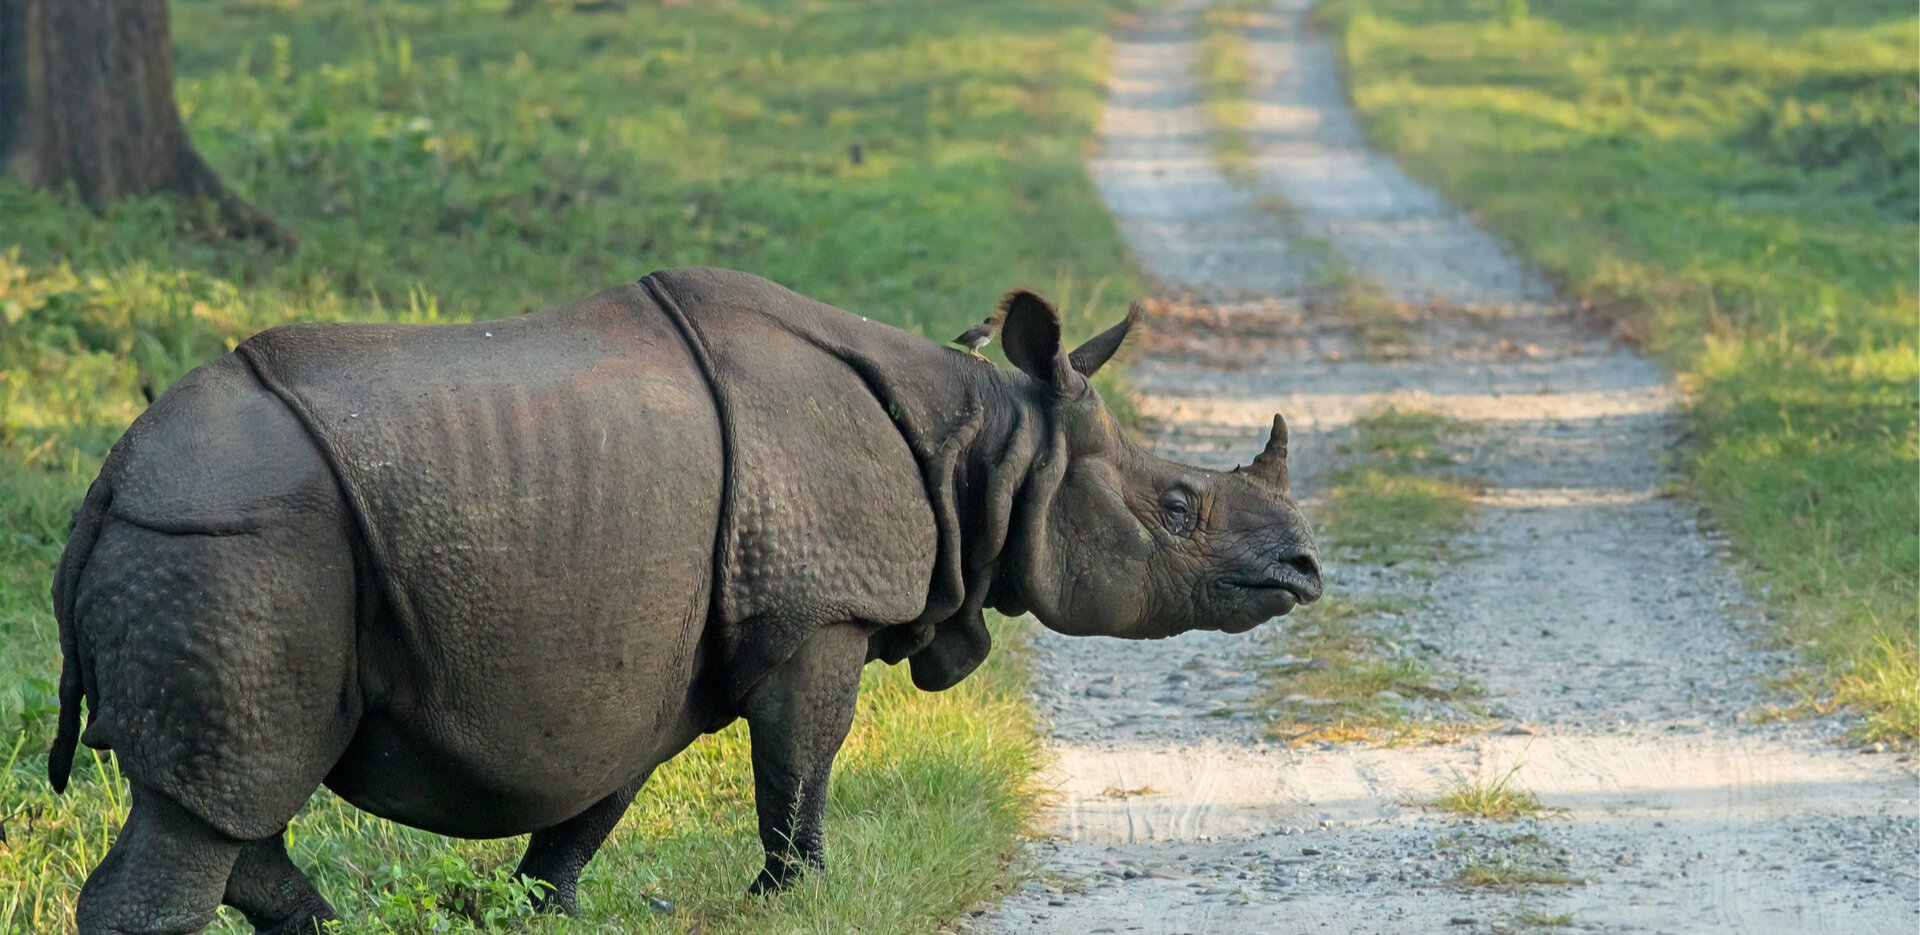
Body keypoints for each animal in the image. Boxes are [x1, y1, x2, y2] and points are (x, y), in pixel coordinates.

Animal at [47, 267, 1321, 934]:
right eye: (1176, 506)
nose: (1307, 569)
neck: (994, 445)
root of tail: (108, 481)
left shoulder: (646, 650)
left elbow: (591, 805)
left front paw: (539, 911)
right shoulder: (820, 611)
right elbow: (802, 758)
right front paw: (796, 895)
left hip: (226, 547)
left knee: (235, 794)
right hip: (238, 543)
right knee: (214, 803)